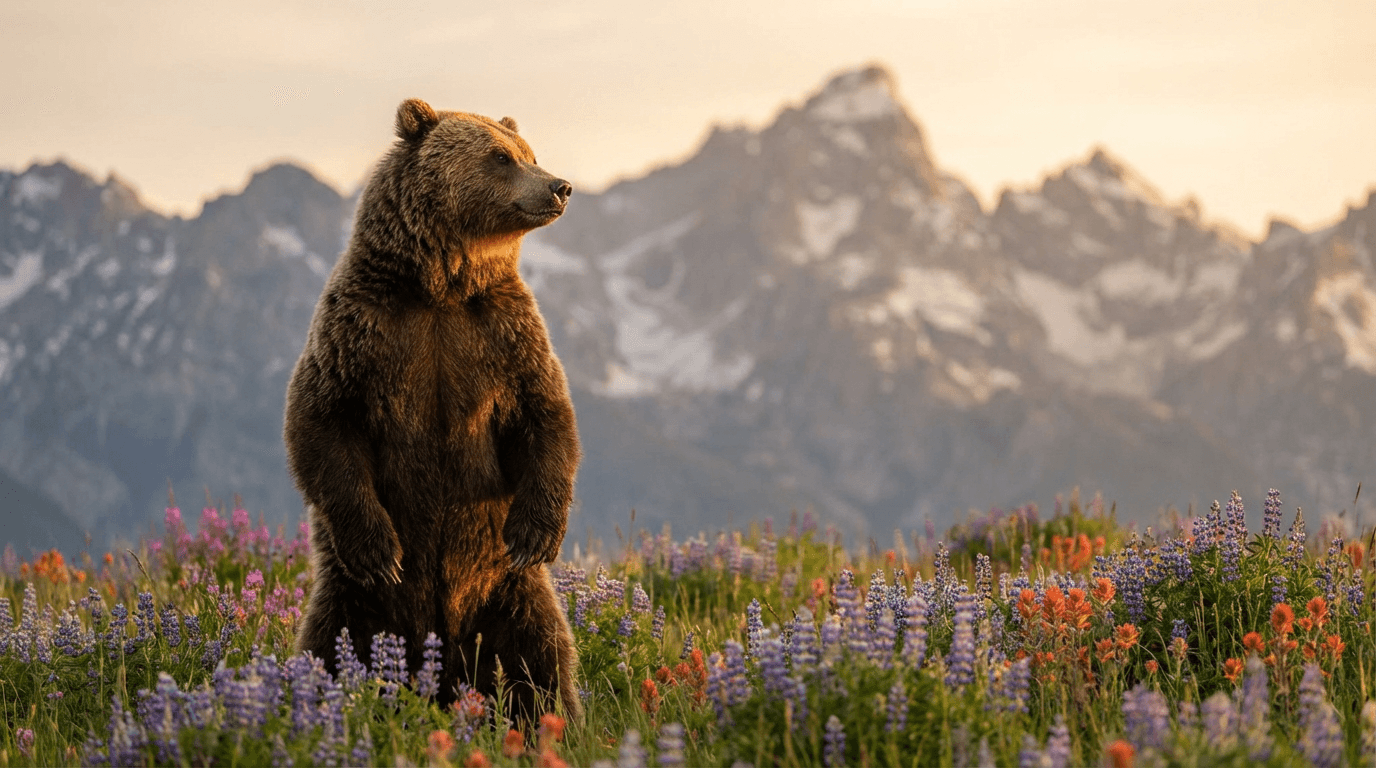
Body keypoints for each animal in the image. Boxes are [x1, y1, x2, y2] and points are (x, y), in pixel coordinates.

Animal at [285, 97, 581, 719]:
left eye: (530, 152)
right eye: (500, 156)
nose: (560, 186)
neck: (443, 285)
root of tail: (441, 663)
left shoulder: (504, 332)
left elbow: (545, 415)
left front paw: (535, 533)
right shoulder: (362, 329)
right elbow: (322, 419)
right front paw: (381, 551)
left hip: (507, 591)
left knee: (540, 653)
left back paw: (554, 718)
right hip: (353, 602)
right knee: (329, 645)